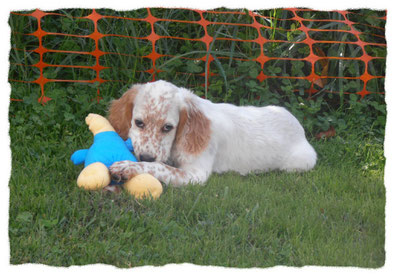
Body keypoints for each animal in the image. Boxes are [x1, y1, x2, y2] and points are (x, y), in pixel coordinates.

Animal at [107, 81, 318, 187]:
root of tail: (300, 128)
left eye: (168, 127)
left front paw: (127, 167)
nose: (146, 156)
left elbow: (160, 167)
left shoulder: (196, 174)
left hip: (301, 163)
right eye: (138, 123)